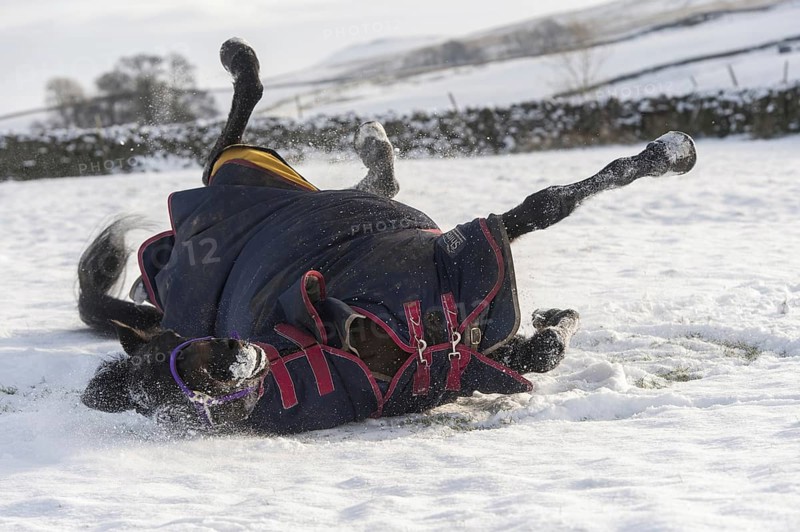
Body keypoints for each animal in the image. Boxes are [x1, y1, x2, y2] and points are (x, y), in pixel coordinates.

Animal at [77, 38, 697, 434]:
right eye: (189, 396)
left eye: (184, 353)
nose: (235, 357)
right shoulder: (474, 268)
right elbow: (545, 331)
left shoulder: (448, 257)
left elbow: (547, 208)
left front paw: (668, 153)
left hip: (278, 186)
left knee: (293, 160)